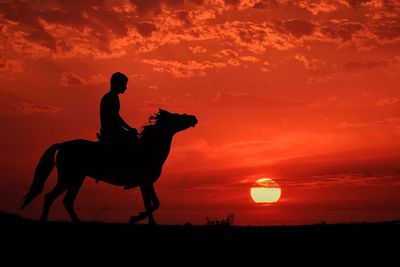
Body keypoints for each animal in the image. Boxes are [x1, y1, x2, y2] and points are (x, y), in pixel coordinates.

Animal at [20, 109, 198, 226]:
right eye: (177, 116)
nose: (194, 118)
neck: (150, 147)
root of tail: (63, 144)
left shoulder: (145, 183)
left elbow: (150, 204)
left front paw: (150, 223)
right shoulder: (145, 182)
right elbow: (154, 204)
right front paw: (134, 219)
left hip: (77, 178)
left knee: (67, 201)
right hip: (68, 177)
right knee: (50, 197)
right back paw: (45, 221)